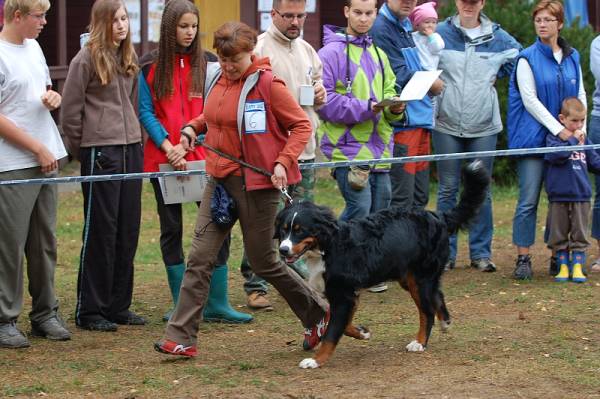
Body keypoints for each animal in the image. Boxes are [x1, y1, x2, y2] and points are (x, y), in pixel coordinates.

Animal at [274, 159, 490, 368]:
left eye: (300, 230)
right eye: (284, 230)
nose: (283, 250)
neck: (328, 247)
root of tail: (437, 216)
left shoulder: (343, 295)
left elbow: (332, 332)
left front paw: (316, 360)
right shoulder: (348, 295)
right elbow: (342, 326)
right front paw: (362, 332)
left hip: (420, 279)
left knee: (426, 312)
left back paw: (420, 342)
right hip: (411, 278)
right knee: (437, 296)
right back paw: (445, 321)